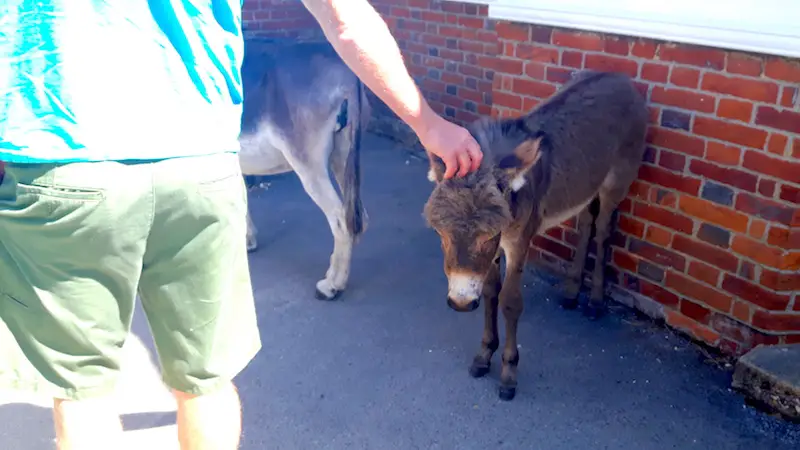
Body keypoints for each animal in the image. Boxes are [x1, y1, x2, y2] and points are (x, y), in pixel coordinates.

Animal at [422, 71, 648, 400]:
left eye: (488, 233)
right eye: (440, 232)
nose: (461, 303)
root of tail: (619, 76)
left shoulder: (517, 241)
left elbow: (510, 301)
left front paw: (508, 374)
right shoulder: (495, 252)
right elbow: (490, 293)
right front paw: (484, 355)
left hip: (615, 183)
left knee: (604, 231)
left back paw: (594, 302)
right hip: (586, 185)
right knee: (586, 224)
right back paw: (571, 292)